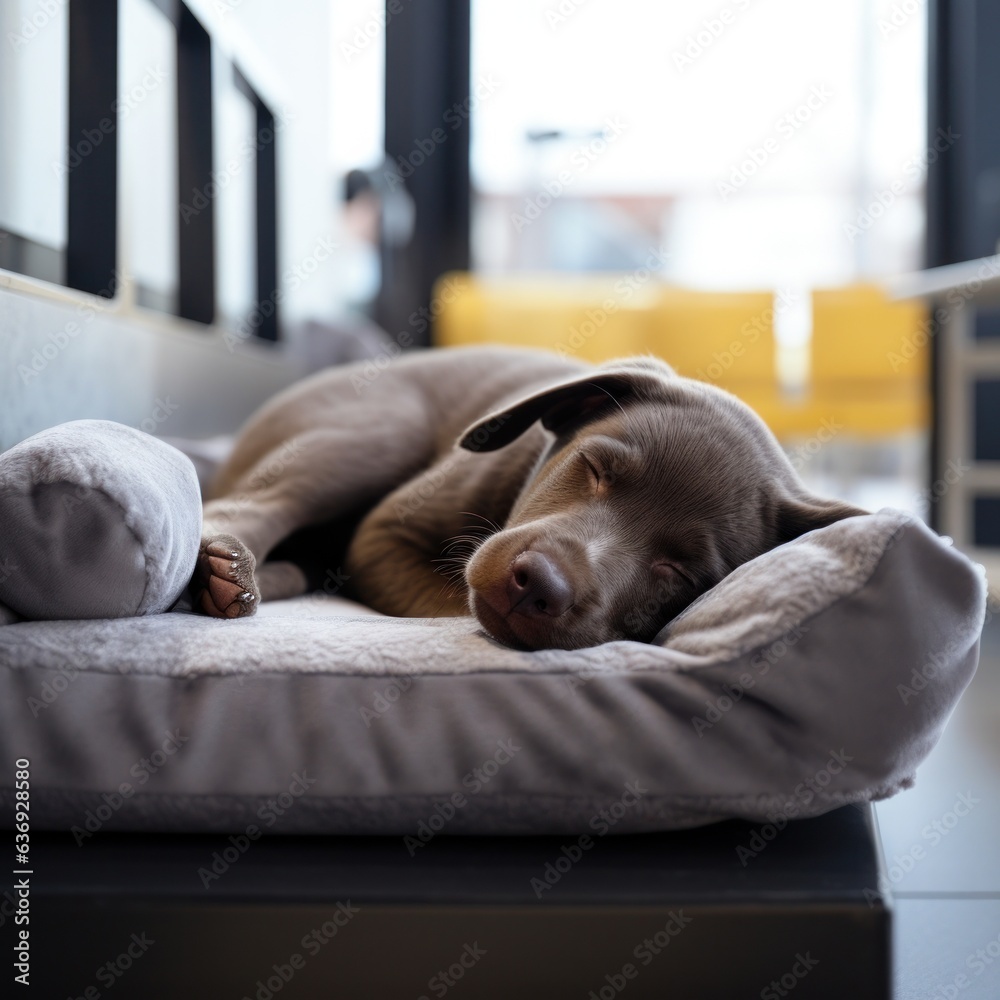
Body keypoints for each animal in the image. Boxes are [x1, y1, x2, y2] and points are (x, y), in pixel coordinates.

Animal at [193, 348, 860, 652]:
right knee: (248, 508)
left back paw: (227, 583)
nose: (539, 584)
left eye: (680, 570)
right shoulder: (383, 534)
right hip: (380, 430)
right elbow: (449, 601)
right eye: (594, 468)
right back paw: (228, 563)